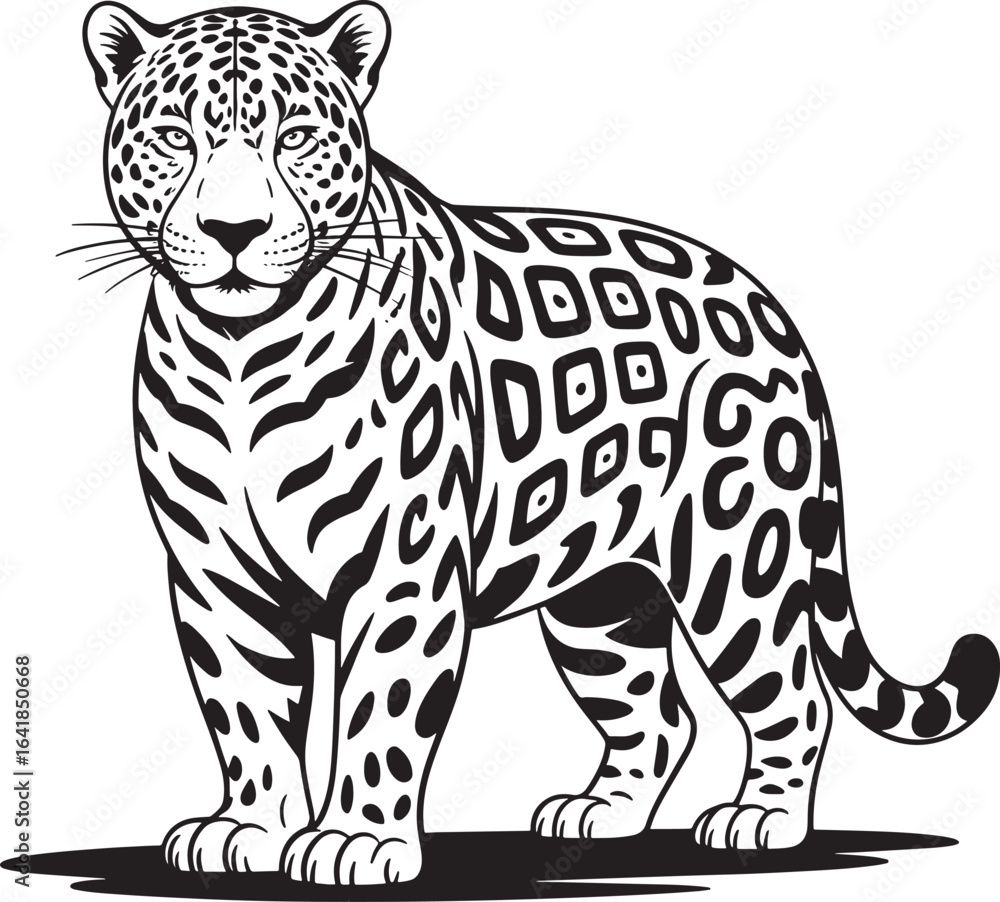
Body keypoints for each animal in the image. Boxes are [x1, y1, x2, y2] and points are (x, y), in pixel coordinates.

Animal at [76, 0, 999, 886]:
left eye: (296, 137)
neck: (241, 348)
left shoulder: (402, 566)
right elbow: (247, 712)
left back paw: (760, 817)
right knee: (659, 714)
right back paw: (600, 813)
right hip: (601, 596)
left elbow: (381, 711)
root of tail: (776, 314)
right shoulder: (217, 576)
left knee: (793, 693)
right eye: (174, 137)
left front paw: (356, 841)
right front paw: (247, 829)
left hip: (735, 558)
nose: (233, 229)